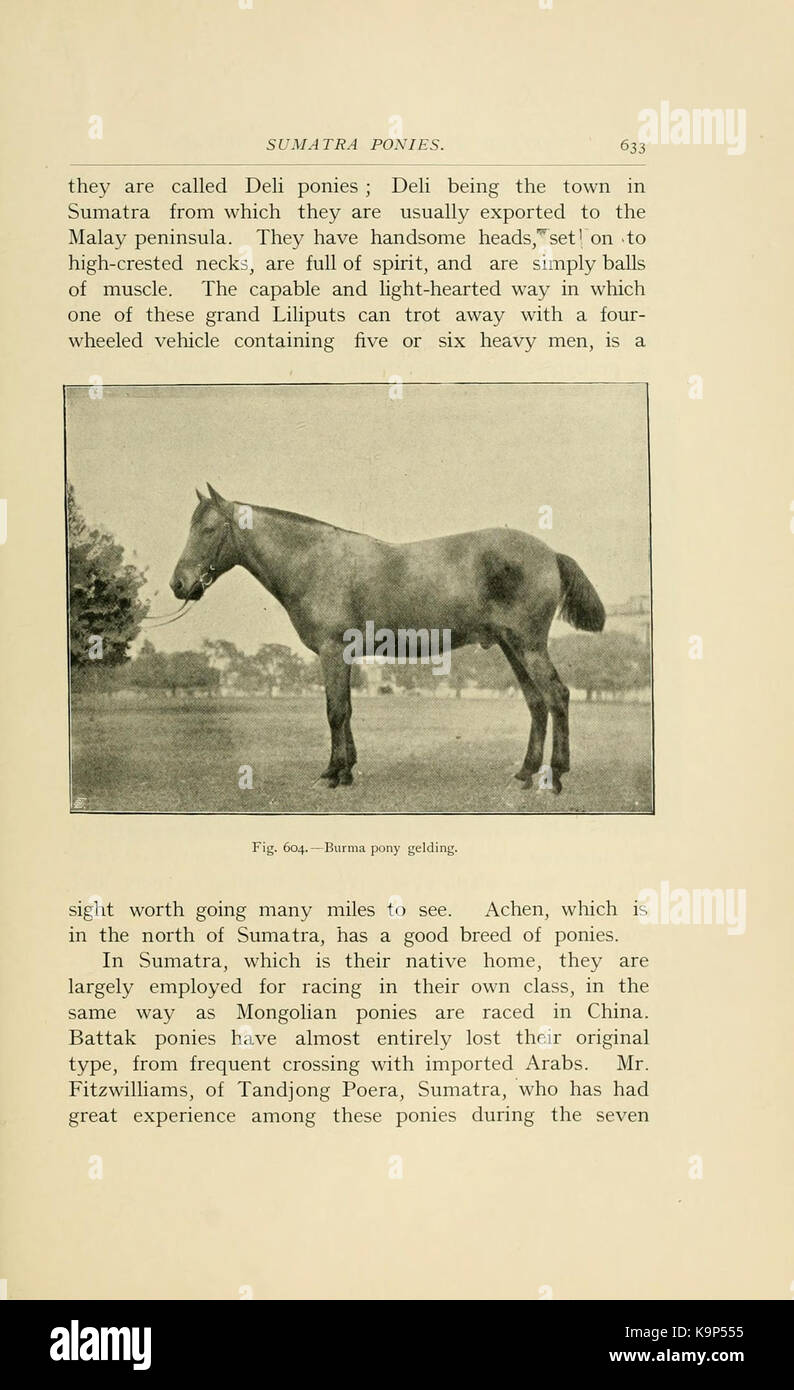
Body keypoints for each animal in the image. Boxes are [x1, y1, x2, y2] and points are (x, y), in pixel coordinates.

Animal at [170, 484, 605, 791]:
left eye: (208, 529)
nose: (179, 584)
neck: (314, 562)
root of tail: (550, 554)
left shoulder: (332, 650)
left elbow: (335, 711)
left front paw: (331, 774)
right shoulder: (345, 655)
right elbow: (346, 709)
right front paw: (347, 771)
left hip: (528, 645)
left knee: (557, 696)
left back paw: (555, 777)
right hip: (511, 646)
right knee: (537, 702)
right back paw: (524, 774)